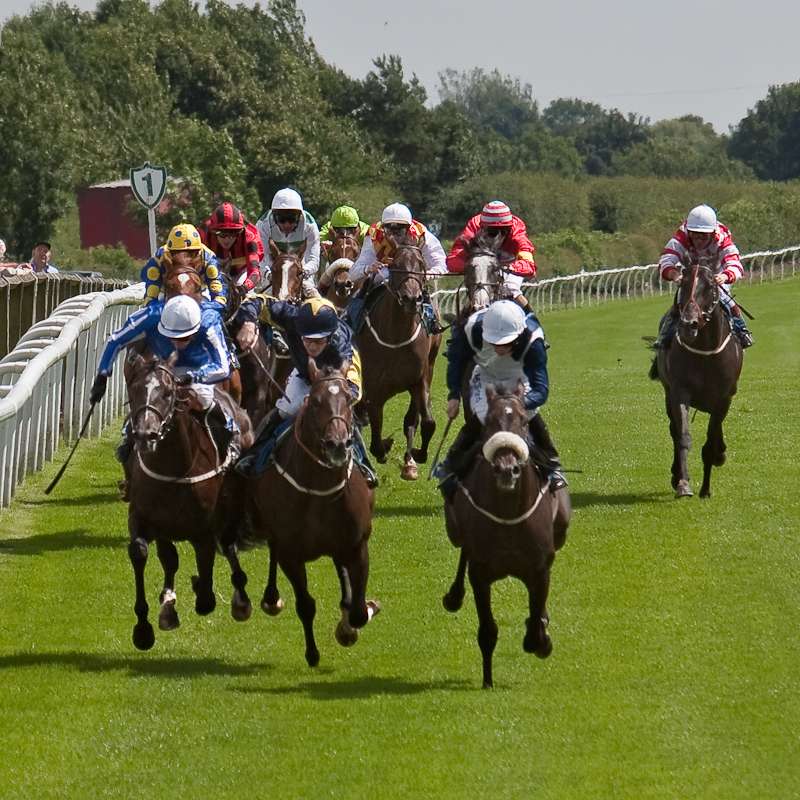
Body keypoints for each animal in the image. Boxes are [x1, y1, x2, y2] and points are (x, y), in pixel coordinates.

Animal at [125, 352, 252, 648]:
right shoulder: (145, 517)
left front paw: (200, 588)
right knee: (171, 559)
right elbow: (142, 552)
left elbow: (205, 593)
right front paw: (144, 627)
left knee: (229, 544)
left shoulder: (202, 529)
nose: (145, 435)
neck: (174, 470)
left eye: (167, 392)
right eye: (134, 390)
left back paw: (240, 598)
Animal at [220, 360, 380, 664]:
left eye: (349, 400)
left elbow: (357, 612)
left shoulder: (357, 546)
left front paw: (354, 620)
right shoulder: (290, 553)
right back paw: (271, 599)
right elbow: (305, 604)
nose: (337, 445)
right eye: (315, 402)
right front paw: (313, 653)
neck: (320, 490)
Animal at [358, 234, 444, 478]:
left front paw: (417, 455)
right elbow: (375, 431)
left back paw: (409, 463)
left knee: (412, 419)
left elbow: (428, 422)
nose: (411, 298)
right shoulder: (372, 386)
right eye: (395, 265)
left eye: (422, 265)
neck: (396, 335)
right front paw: (383, 448)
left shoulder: (419, 379)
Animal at [440, 382, 572, 688]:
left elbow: (535, 627)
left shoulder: (539, 568)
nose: (506, 469)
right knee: (462, 550)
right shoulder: (480, 573)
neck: (509, 512)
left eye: (524, 422)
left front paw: (542, 638)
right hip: (454, 531)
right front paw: (487, 680)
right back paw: (454, 596)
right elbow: (488, 630)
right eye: (488, 421)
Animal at [648, 262, 744, 496]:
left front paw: (706, 490)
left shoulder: (724, 397)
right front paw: (683, 483)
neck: (705, 353)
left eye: (710, 285)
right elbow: (683, 436)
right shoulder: (679, 391)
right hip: (668, 393)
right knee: (674, 430)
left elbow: (710, 443)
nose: (688, 324)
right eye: (682, 283)